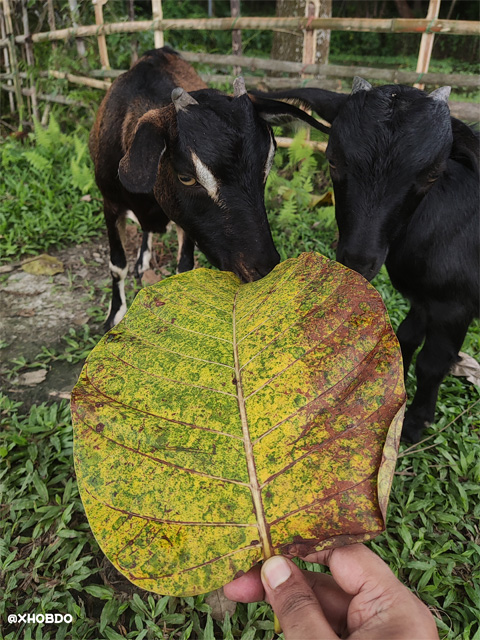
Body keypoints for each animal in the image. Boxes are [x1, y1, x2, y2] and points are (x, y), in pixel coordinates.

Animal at [89, 46, 326, 330]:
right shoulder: (110, 203)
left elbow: (184, 267)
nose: (263, 267)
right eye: (186, 177)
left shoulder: (185, 223)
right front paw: (114, 316)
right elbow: (116, 265)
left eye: (267, 166)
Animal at [253, 79, 478, 440]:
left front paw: (415, 424)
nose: (358, 260)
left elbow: (432, 363)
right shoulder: (423, 298)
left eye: (433, 175)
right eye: (332, 160)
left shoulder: (454, 305)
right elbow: (406, 337)